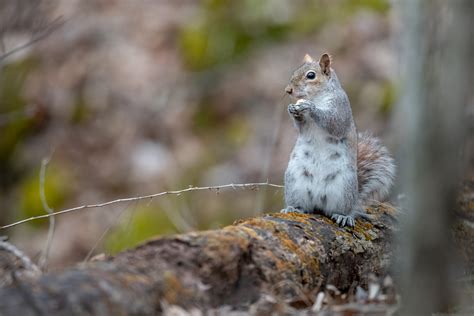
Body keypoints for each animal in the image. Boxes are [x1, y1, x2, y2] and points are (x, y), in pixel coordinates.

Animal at [282, 52, 396, 227]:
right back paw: (293, 208)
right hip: (295, 181)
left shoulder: (340, 107)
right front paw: (293, 110)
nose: (288, 90)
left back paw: (344, 216)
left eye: (311, 75)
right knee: (304, 205)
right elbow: (301, 126)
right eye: (295, 71)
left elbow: (334, 123)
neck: (317, 97)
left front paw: (309, 107)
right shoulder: (305, 126)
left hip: (343, 187)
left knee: (340, 210)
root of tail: (318, 200)